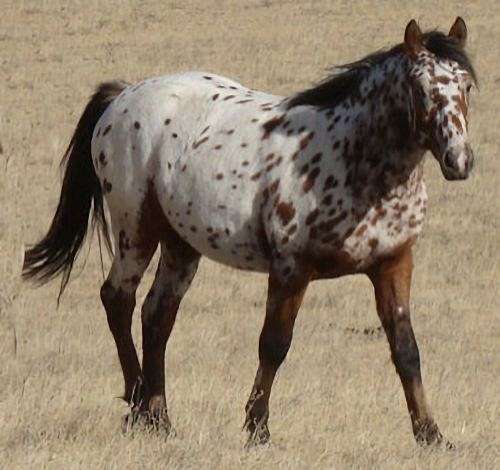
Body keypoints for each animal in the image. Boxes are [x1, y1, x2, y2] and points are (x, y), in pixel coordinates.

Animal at [23, 18, 476, 448]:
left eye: (468, 85)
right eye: (420, 88)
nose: (459, 160)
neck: (354, 157)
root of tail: (122, 95)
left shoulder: (393, 264)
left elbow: (406, 350)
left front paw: (431, 434)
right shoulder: (291, 269)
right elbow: (274, 344)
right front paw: (257, 428)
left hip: (181, 245)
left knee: (157, 315)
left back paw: (160, 419)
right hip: (136, 231)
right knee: (118, 299)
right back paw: (137, 406)